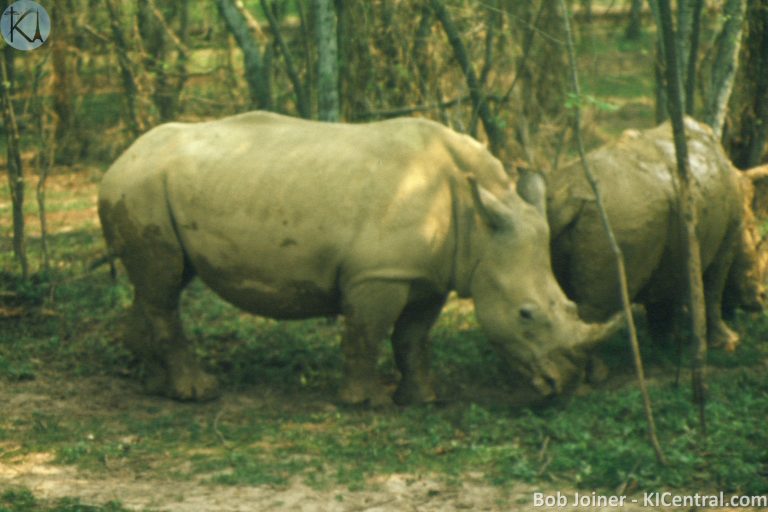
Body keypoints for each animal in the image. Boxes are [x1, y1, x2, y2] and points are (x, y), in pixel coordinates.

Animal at [98, 111, 625, 404]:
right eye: (525, 314)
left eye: (571, 307)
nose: (563, 387)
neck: (480, 221)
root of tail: (118, 159)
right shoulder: (379, 274)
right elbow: (368, 333)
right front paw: (366, 403)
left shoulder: (430, 275)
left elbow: (413, 337)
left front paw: (424, 400)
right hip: (141, 187)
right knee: (165, 287)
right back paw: (198, 394)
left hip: (150, 185)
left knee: (159, 284)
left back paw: (155, 386)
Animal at [544, 118, 764, 351]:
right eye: (755, 239)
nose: (761, 298)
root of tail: (565, 198)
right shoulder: (726, 241)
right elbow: (712, 289)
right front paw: (728, 343)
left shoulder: (670, 248)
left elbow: (662, 300)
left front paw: (666, 344)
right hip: (619, 213)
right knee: (597, 310)